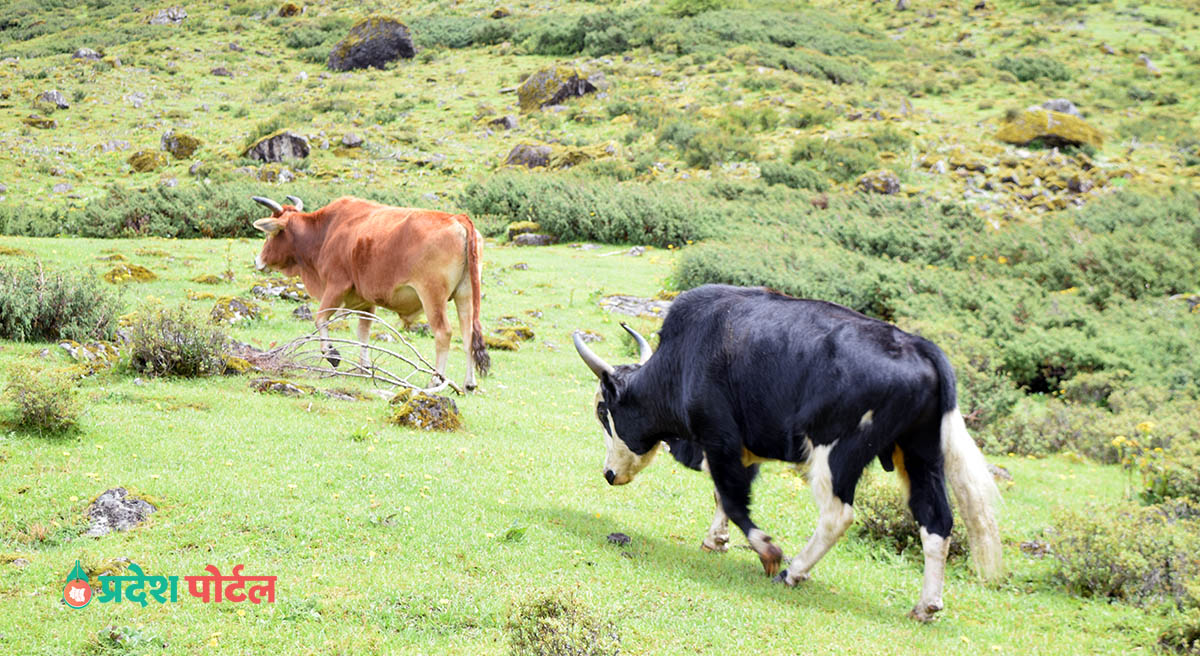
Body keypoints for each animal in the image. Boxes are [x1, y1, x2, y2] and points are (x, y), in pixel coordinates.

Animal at [250, 195, 489, 390]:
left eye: (270, 235)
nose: (258, 260)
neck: (326, 231)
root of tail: (458, 218)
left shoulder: (336, 286)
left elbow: (320, 319)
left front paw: (332, 354)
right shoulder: (365, 301)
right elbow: (363, 332)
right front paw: (364, 367)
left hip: (432, 296)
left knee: (443, 333)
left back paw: (435, 380)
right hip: (465, 295)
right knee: (468, 336)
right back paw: (469, 383)